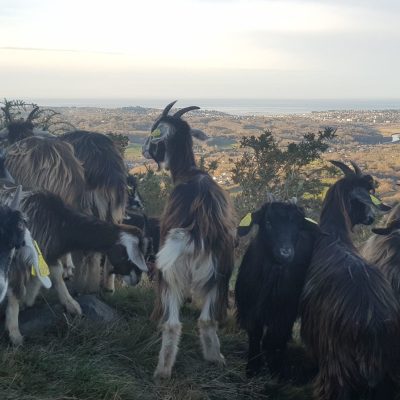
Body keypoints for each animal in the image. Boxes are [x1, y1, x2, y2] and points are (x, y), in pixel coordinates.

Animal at [142, 101, 236, 380]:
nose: (144, 149)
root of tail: (196, 232)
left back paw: (162, 370)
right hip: (220, 274)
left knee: (171, 323)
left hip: (169, 273)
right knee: (207, 319)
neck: (189, 173)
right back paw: (215, 357)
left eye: (154, 129)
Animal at [236, 202, 320, 376]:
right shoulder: (250, 309)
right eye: (268, 222)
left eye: (298, 225)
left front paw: (274, 367)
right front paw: (252, 367)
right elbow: (255, 334)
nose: (285, 253)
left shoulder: (284, 312)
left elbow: (274, 337)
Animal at [300, 160, 400, 400]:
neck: (333, 236)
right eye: (362, 198)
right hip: (389, 374)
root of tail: (375, 327)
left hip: (337, 366)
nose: (371, 218)